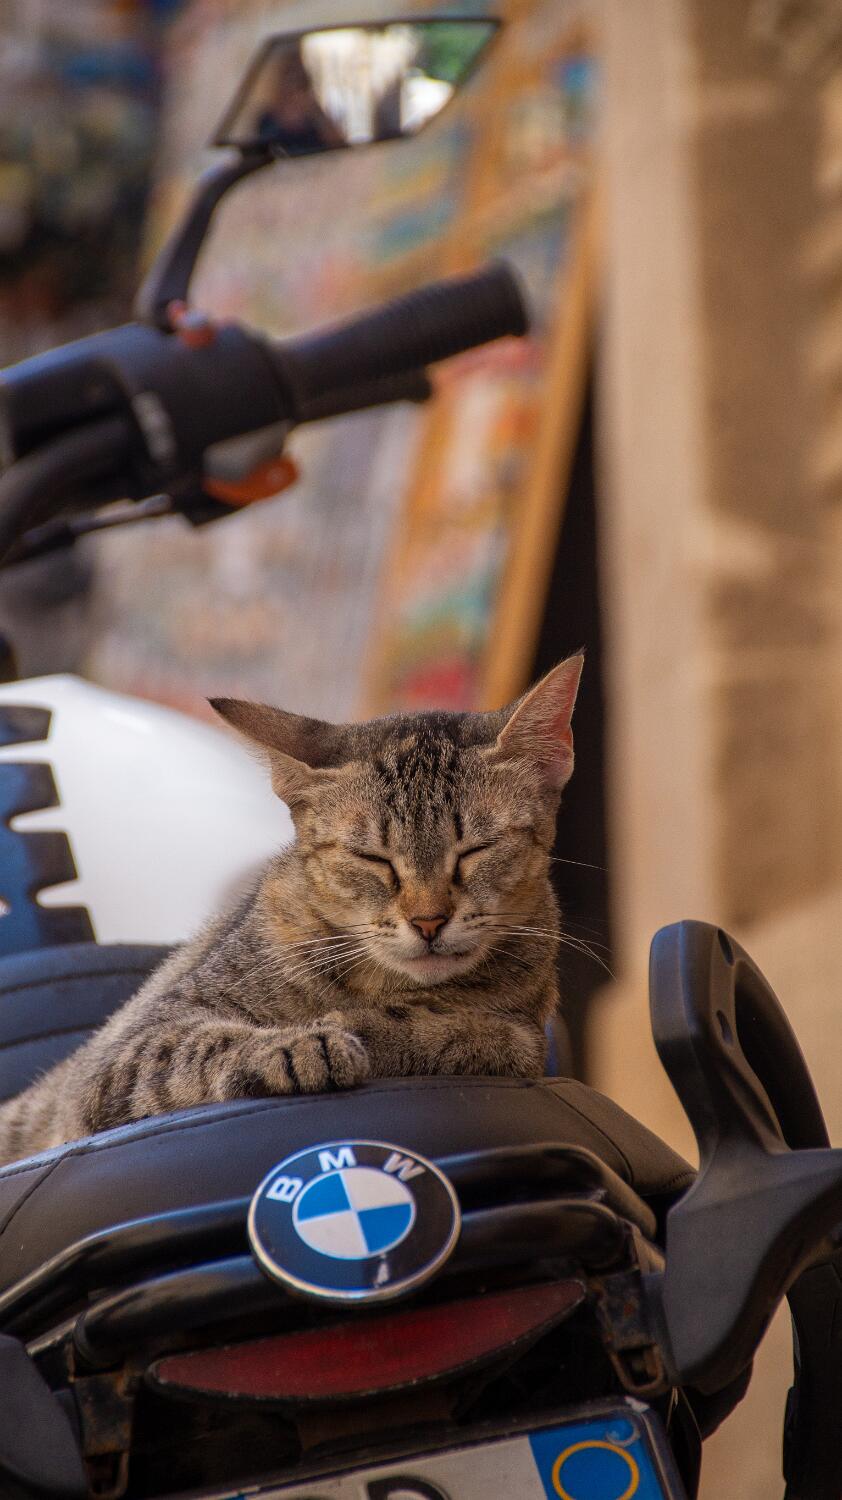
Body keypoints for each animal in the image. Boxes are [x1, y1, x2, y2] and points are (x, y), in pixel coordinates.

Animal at [0, 654, 583, 1166]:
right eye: (372, 858)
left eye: (475, 851)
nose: (428, 921)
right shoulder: (121, 1058)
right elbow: (195, 1045)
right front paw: (297, 1045)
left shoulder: (527, 1033)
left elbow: (483, 1035)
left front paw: (370, 1027)